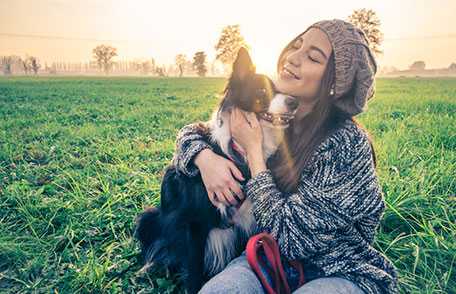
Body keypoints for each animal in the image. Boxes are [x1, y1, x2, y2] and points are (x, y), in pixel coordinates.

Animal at [134, 47, 300, 292]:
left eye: (279, 89)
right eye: (262, 90)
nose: (295, 102)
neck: (238, 152)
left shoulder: (245, 222)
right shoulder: (194, 225)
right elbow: (194, 273)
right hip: (148, 219)